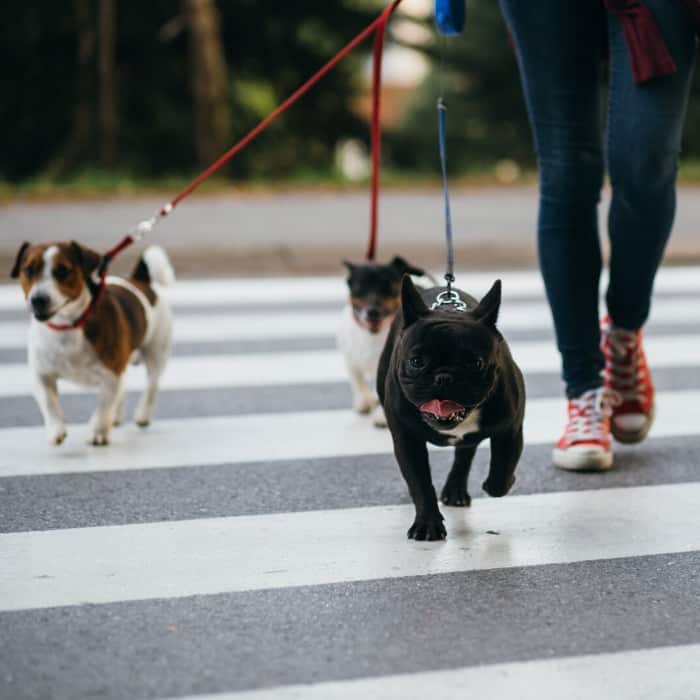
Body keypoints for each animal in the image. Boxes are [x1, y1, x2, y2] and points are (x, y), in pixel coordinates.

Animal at [338, 254, 430, 424]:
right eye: (359, 288)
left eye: (388, 287)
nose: (373, 312)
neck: (373, 334)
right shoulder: (351, 361)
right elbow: (357, 381)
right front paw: (362, 401)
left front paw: (381, 417)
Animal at [380, 274, 524, 540]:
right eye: (416, 362)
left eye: (476, 363)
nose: (444, 377)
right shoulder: (407, 440)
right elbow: (420, 483)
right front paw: (427, 524)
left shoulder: (510, 429)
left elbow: (503, 466)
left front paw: (499, 484)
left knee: (465, 452)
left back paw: (456, 489)